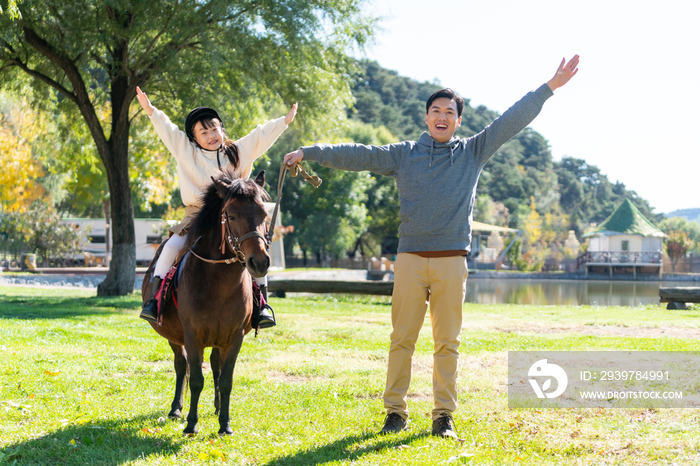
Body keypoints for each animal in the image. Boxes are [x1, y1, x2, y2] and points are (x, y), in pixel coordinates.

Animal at [142, 169, 270, 436]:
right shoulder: (192, 335)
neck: (219, 286)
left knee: (214, 366)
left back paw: (217, 407)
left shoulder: (234, 337)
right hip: (174, 336)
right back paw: (176, 409)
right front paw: (191, 423)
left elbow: (226, 379)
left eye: (264, 214)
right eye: (231, 215)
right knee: (181, 366)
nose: (259, 262)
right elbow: (195, 379)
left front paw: (225, 423)